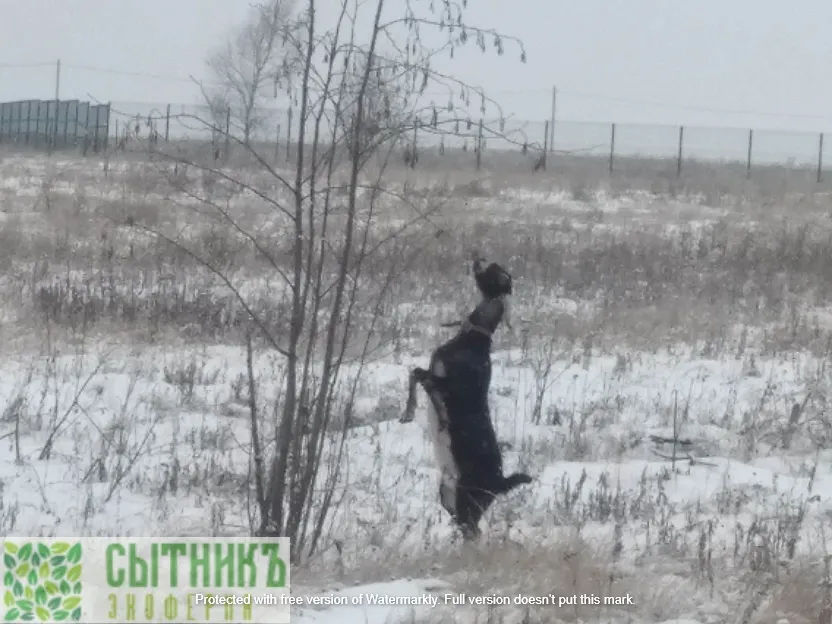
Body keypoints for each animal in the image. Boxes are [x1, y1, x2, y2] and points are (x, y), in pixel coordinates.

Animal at [400, 256, 533, 539]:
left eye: (495, 272)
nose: (479, 257)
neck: (472, 340)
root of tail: (500, 482)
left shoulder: (443, 383)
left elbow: (416, 374)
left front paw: (412, 412)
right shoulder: (434, 376)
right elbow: (414, 374)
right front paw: (411, 412)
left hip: (466, 501)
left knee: (472, 531)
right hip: (449, 496)